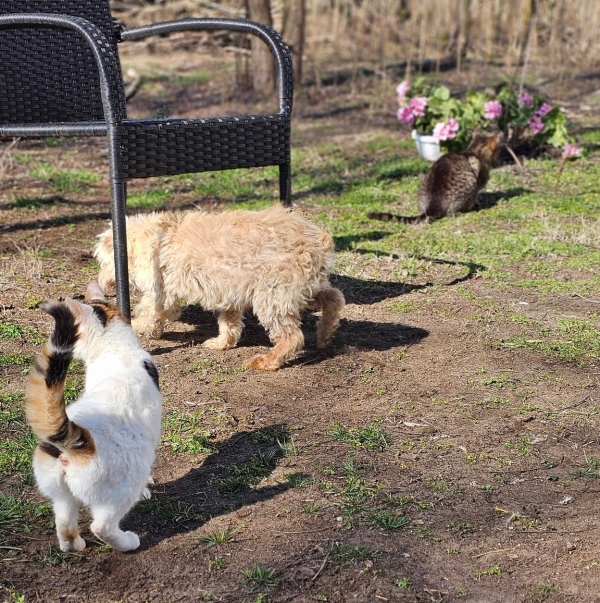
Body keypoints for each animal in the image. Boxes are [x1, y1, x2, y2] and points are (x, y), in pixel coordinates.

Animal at [94, 205, 345, 371]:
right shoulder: (228, 291)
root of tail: (317, 239)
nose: (101, 282)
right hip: (301, 289)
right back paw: (325, 332)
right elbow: (229, 322)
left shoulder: (160, 292)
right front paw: (222, 343)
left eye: (103, 262)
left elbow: (149, 313)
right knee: (335, 297)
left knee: (292, 337)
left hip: (273, 295)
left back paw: (266, 361)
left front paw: (135, 326)